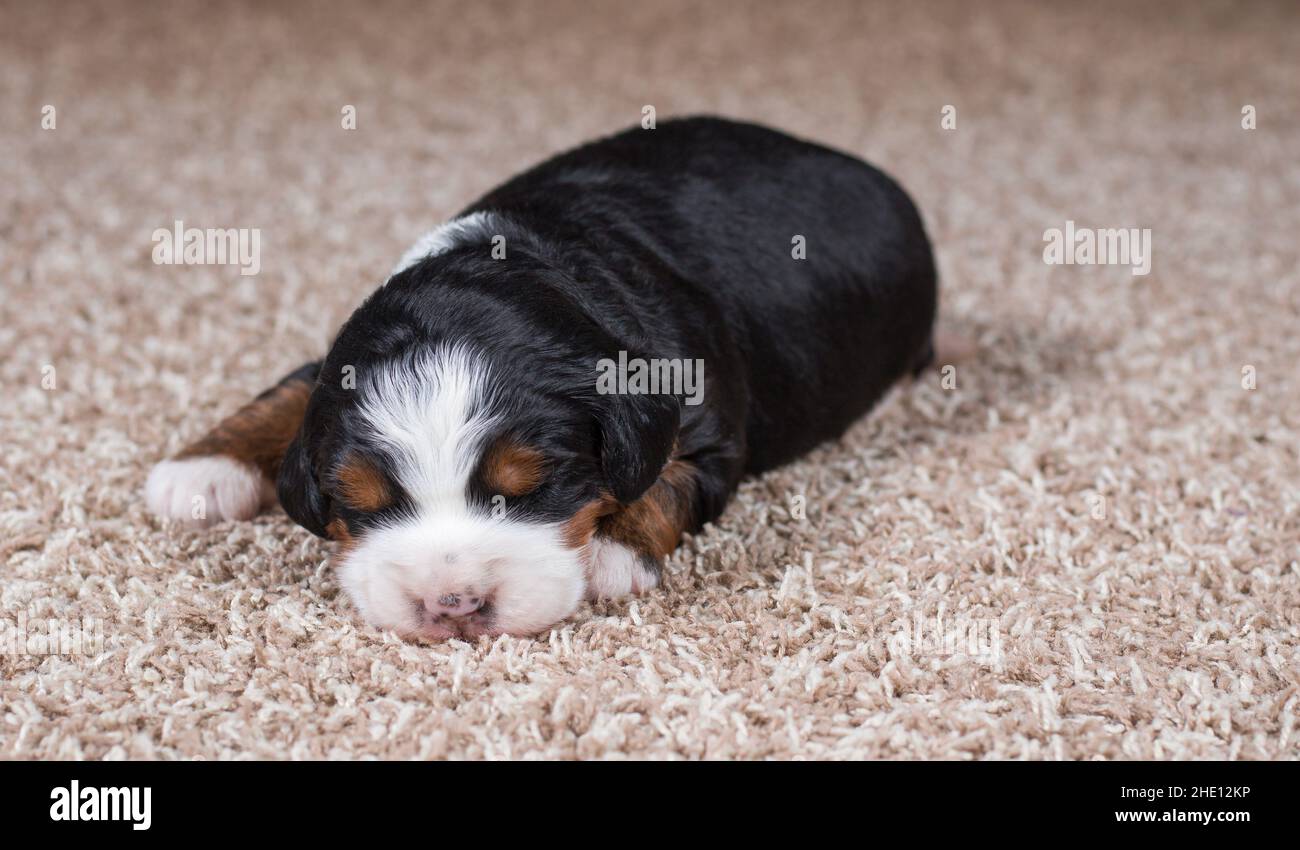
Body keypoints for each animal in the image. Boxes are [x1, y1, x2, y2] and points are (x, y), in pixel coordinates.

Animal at [144, 118, 935, 639]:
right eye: (362, 502)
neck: (521, 261)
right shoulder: (327, 366)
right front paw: (201, 468)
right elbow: (283, 394)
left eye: (530, 489)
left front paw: (613, 555)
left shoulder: (710, 426)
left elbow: (667, 481)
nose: (453, 606)